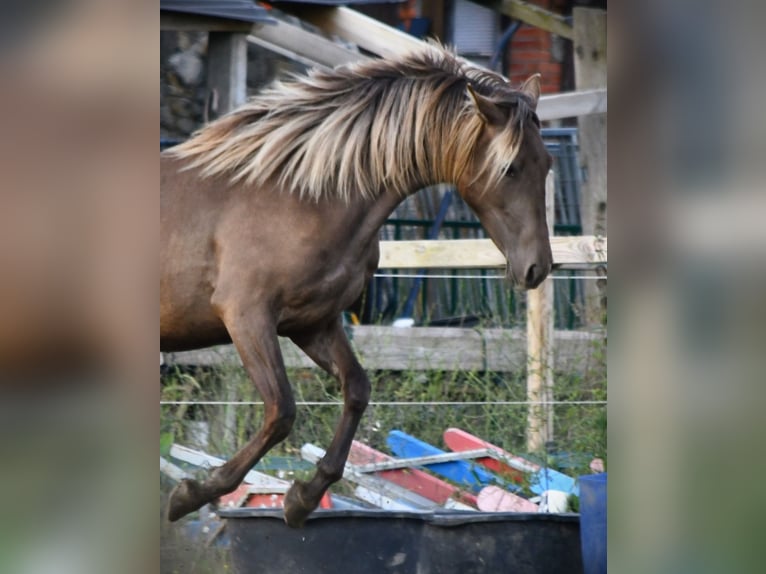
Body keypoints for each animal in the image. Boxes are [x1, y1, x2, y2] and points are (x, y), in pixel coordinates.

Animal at [161, 43, 553, 528]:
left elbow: (357, 390)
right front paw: (192, 494)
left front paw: (303, 497)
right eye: (510, 168)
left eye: (547, 164)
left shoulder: (313, 324)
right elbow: (282, 411)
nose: (538, 267)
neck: (299, 193)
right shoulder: (247, 318)